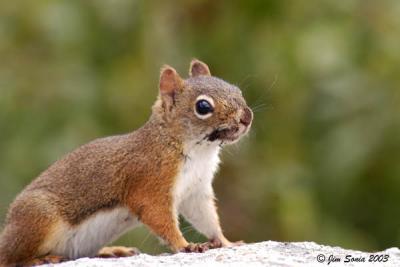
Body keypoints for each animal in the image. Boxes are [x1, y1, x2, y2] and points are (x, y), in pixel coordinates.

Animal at [0, 60, 253, 267]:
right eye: (203, 107)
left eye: (237, 90)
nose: (247, 116)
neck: (198, 151)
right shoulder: (150, 182)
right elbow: (159, 217)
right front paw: (186, 245)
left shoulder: (196, 192)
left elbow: (207, 219)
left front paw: (227, 242)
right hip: (39, 217)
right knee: (10, 258)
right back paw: (40, 258)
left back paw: (111, 251)